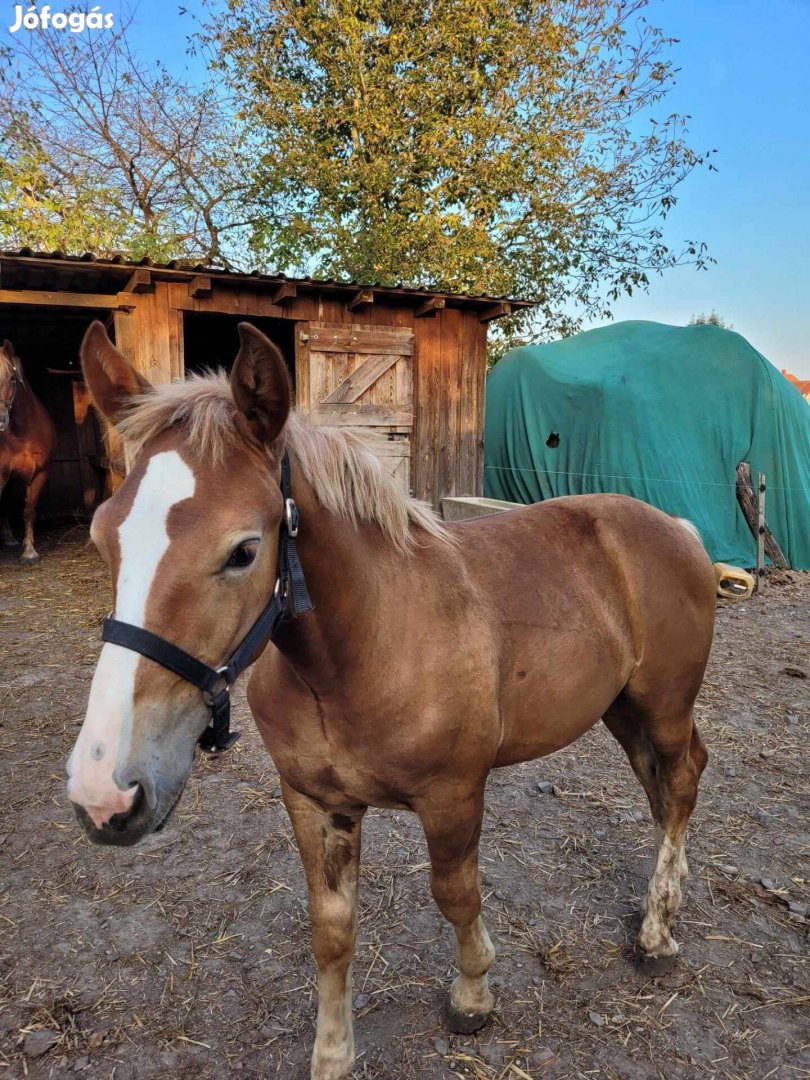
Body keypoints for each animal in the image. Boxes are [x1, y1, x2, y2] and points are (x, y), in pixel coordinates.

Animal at [69, 321, 717, 1080]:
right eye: (102, 536)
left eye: (244, 550)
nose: (105, 793)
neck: (366, 646)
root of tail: (677, 527)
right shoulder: (314, 802)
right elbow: (331, 928)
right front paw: (332, 1052)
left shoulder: (454, 795)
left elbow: (456, 895)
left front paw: (472, 996)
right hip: (622, 709)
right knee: (662, 789)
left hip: (664, 706)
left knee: (682, 782)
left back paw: (656, 931)